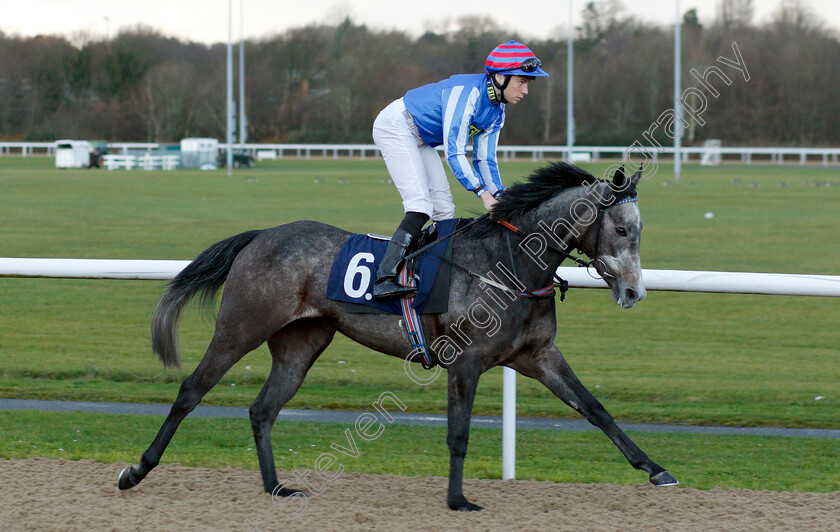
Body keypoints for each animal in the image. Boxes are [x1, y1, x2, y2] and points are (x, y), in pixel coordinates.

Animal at [116, 161, 676, 512]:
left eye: (640, 230)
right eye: (622, 229)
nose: (634, 291)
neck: (510, 263)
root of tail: (260, 236)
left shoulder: (538, 355)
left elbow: (596, 409)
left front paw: (655, 469)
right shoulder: (466, 362)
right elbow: (458, 433)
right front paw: (458, 499)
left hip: (302, 344)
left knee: (262, 410)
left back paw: (276, 488)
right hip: (241, 327)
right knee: (191, 390)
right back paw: (137, 471)